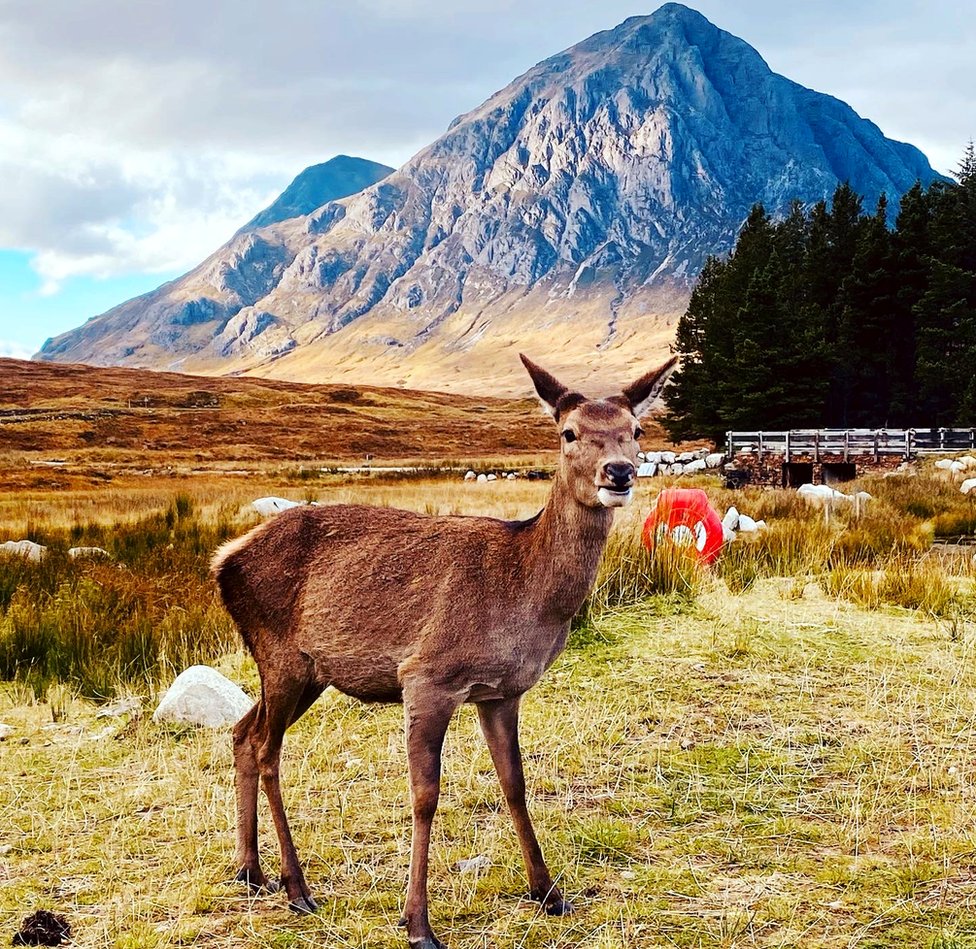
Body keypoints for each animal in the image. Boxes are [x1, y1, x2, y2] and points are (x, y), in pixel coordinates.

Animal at [211, 356, 676, 948]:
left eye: (636, 431)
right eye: (568, 433)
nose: (619, 473)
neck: (525, 592)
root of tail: (222, 559)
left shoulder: (501, 692)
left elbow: (515, 784)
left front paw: (548, 893)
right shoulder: (427, 676)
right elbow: (424, 795)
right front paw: (418, 922)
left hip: (309, 670)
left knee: (242, 731)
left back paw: (250, 870)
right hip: (281, 653)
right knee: (268, 749)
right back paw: (297, 887)